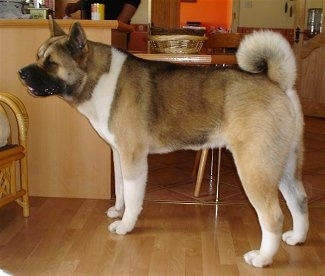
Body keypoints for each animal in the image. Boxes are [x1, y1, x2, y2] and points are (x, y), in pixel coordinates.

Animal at [19, 17, 308, 268]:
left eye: (50, 63)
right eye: (37, 55)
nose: (21, 72)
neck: (98, 78)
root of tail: (278, 82)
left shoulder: (133, 156)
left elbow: (133, 195)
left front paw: (126, 224)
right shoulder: (118, 154)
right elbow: (121, 189)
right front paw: (118, 210)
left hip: (254, 168)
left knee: (273, 215)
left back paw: (262, 258)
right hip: (282, 166)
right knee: (299, 200)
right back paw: (297, 237)